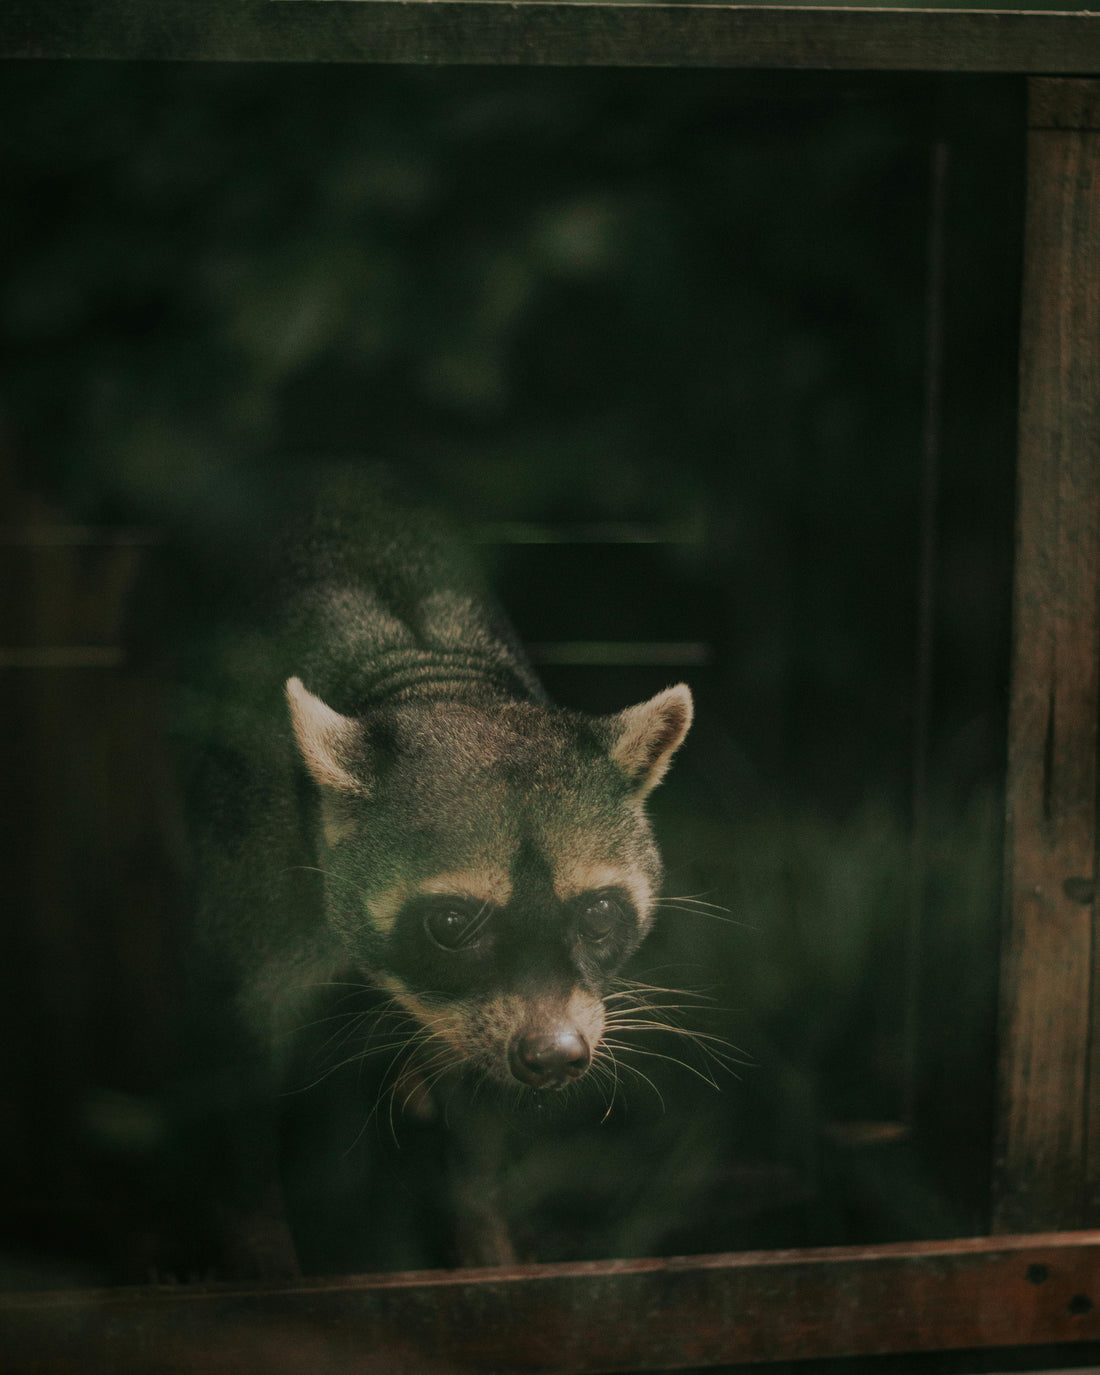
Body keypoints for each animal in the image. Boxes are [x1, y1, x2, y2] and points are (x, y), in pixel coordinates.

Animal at [169, 467, 692, 1274]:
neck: (432, 685)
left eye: (599, 913)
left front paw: (481, 1239)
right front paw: (263, 1256)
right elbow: (237, 1077)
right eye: (449, 923)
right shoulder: (249, 873)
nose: (556, 1056)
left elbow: (475, 1118)